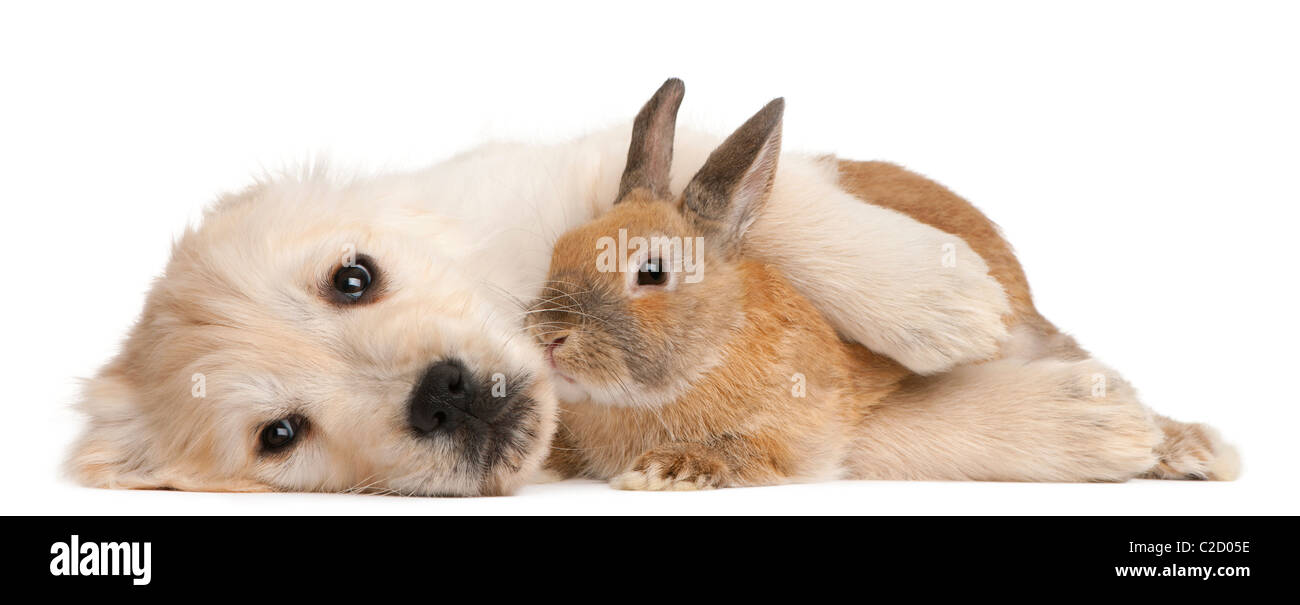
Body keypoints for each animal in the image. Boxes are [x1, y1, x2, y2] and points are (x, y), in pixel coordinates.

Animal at [526, 80, 1239, 490]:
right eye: (558, 249)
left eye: (651, 272)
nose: (548, 337)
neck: (714, 349)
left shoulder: (804, 433)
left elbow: (755, 452)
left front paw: (669, 469)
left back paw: (1187, 451)